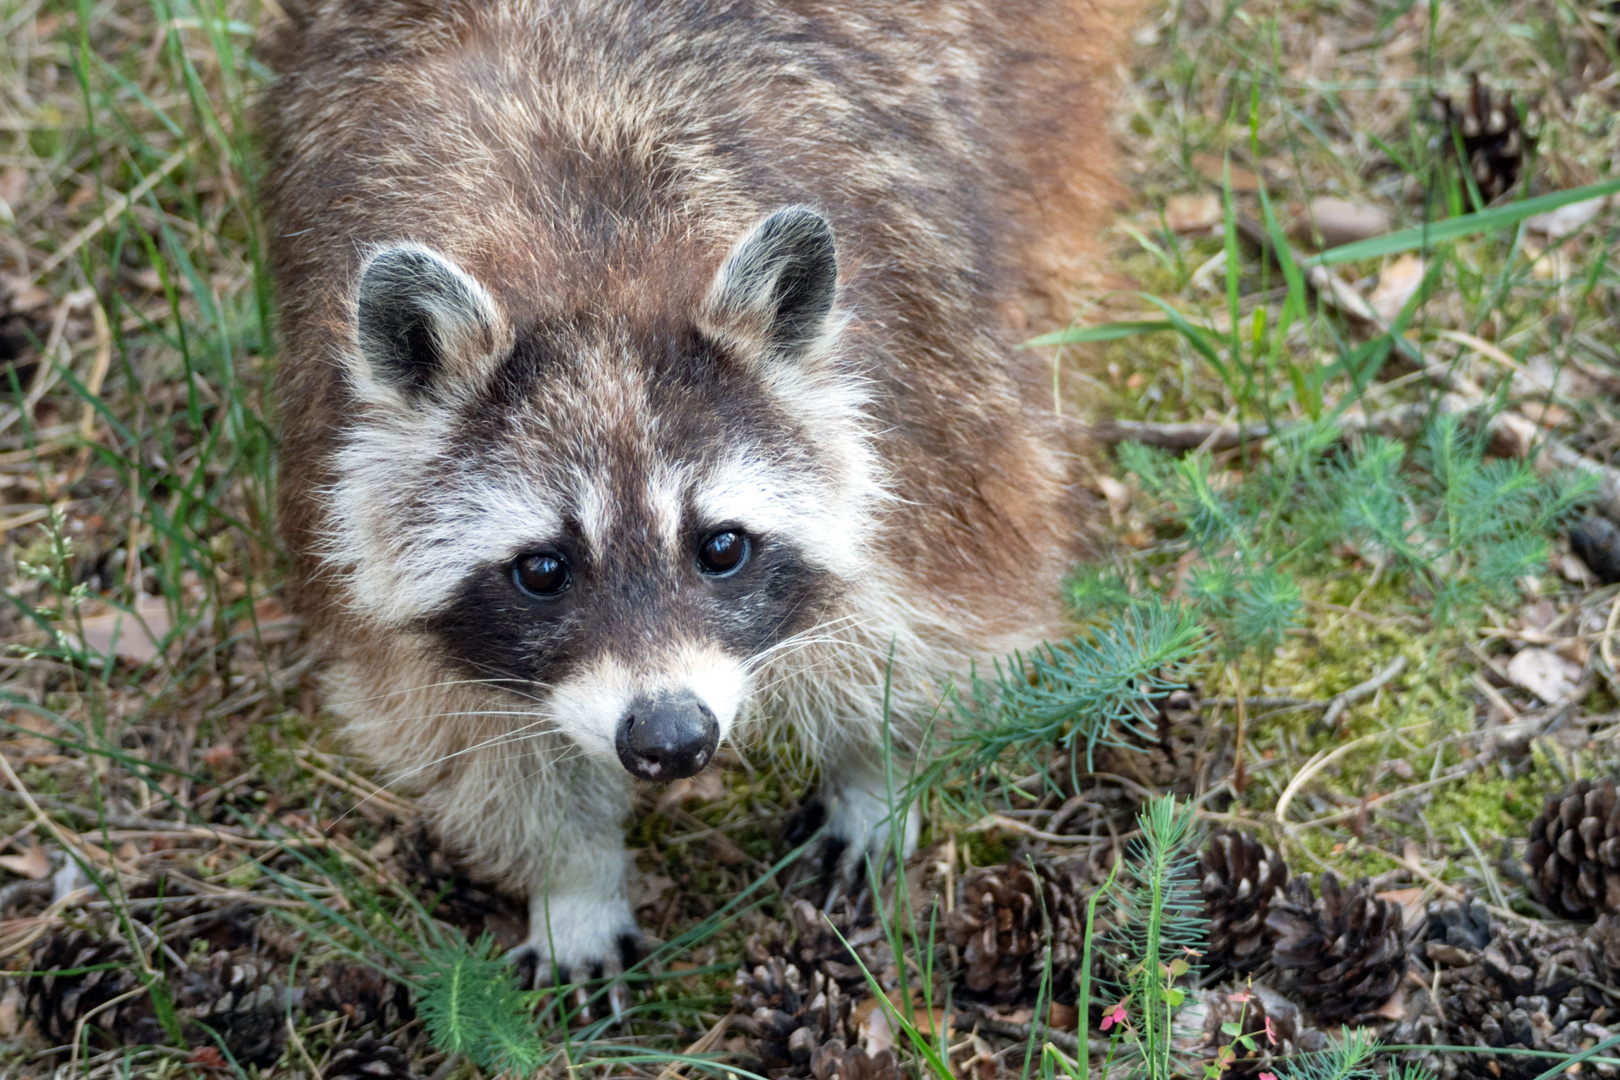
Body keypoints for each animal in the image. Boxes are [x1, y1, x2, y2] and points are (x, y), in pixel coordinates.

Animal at [265, 2, 1127, 1016]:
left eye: (721, 547)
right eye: (543, 569)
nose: (671, 739)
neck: (590, 269)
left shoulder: (931, 414)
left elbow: (945, 618)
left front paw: (881, 773)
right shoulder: (338, 476)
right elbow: (467, 736)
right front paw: (571, 880)